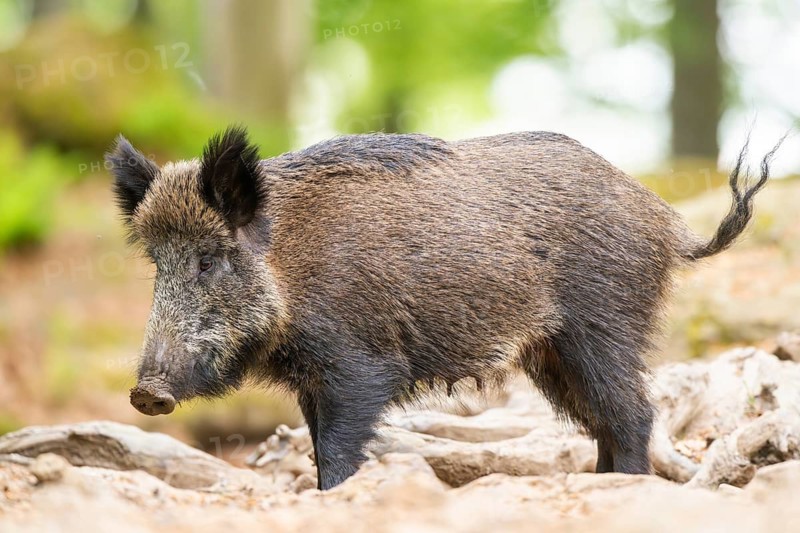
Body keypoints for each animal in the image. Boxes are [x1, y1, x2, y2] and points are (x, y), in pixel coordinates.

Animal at [107, 126, 781, 489]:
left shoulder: (357, 366)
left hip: (604, 325)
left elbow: (339, 450)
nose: (146, 393)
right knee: (603, 423)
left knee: (634, 414)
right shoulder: (312, 380)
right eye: (157, 263)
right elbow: (318, 447)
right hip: (553, 353)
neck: (289, 268)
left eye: (208, 260)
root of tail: (667, 223)